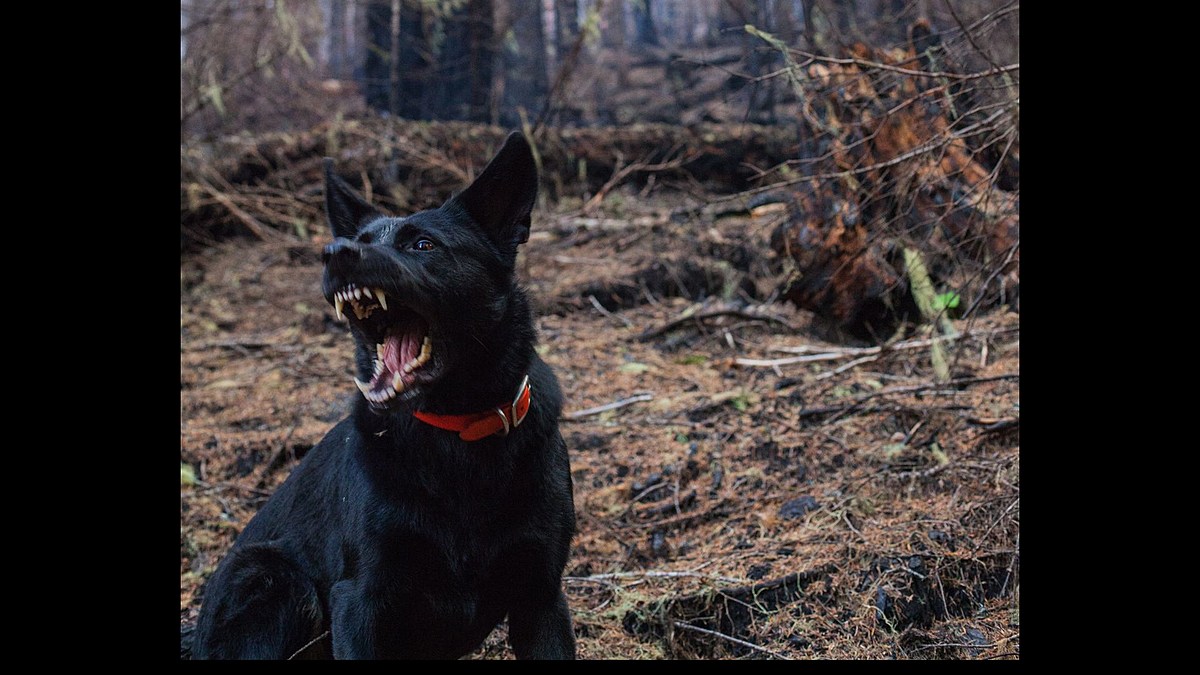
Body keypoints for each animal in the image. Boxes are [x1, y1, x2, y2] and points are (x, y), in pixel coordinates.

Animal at [192, 131, 576, 658]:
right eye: (360, 241)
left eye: (423, 244)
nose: (335, 252)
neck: (457, 432)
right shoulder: (361, 598)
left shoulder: (541, 598)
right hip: (274, 578)